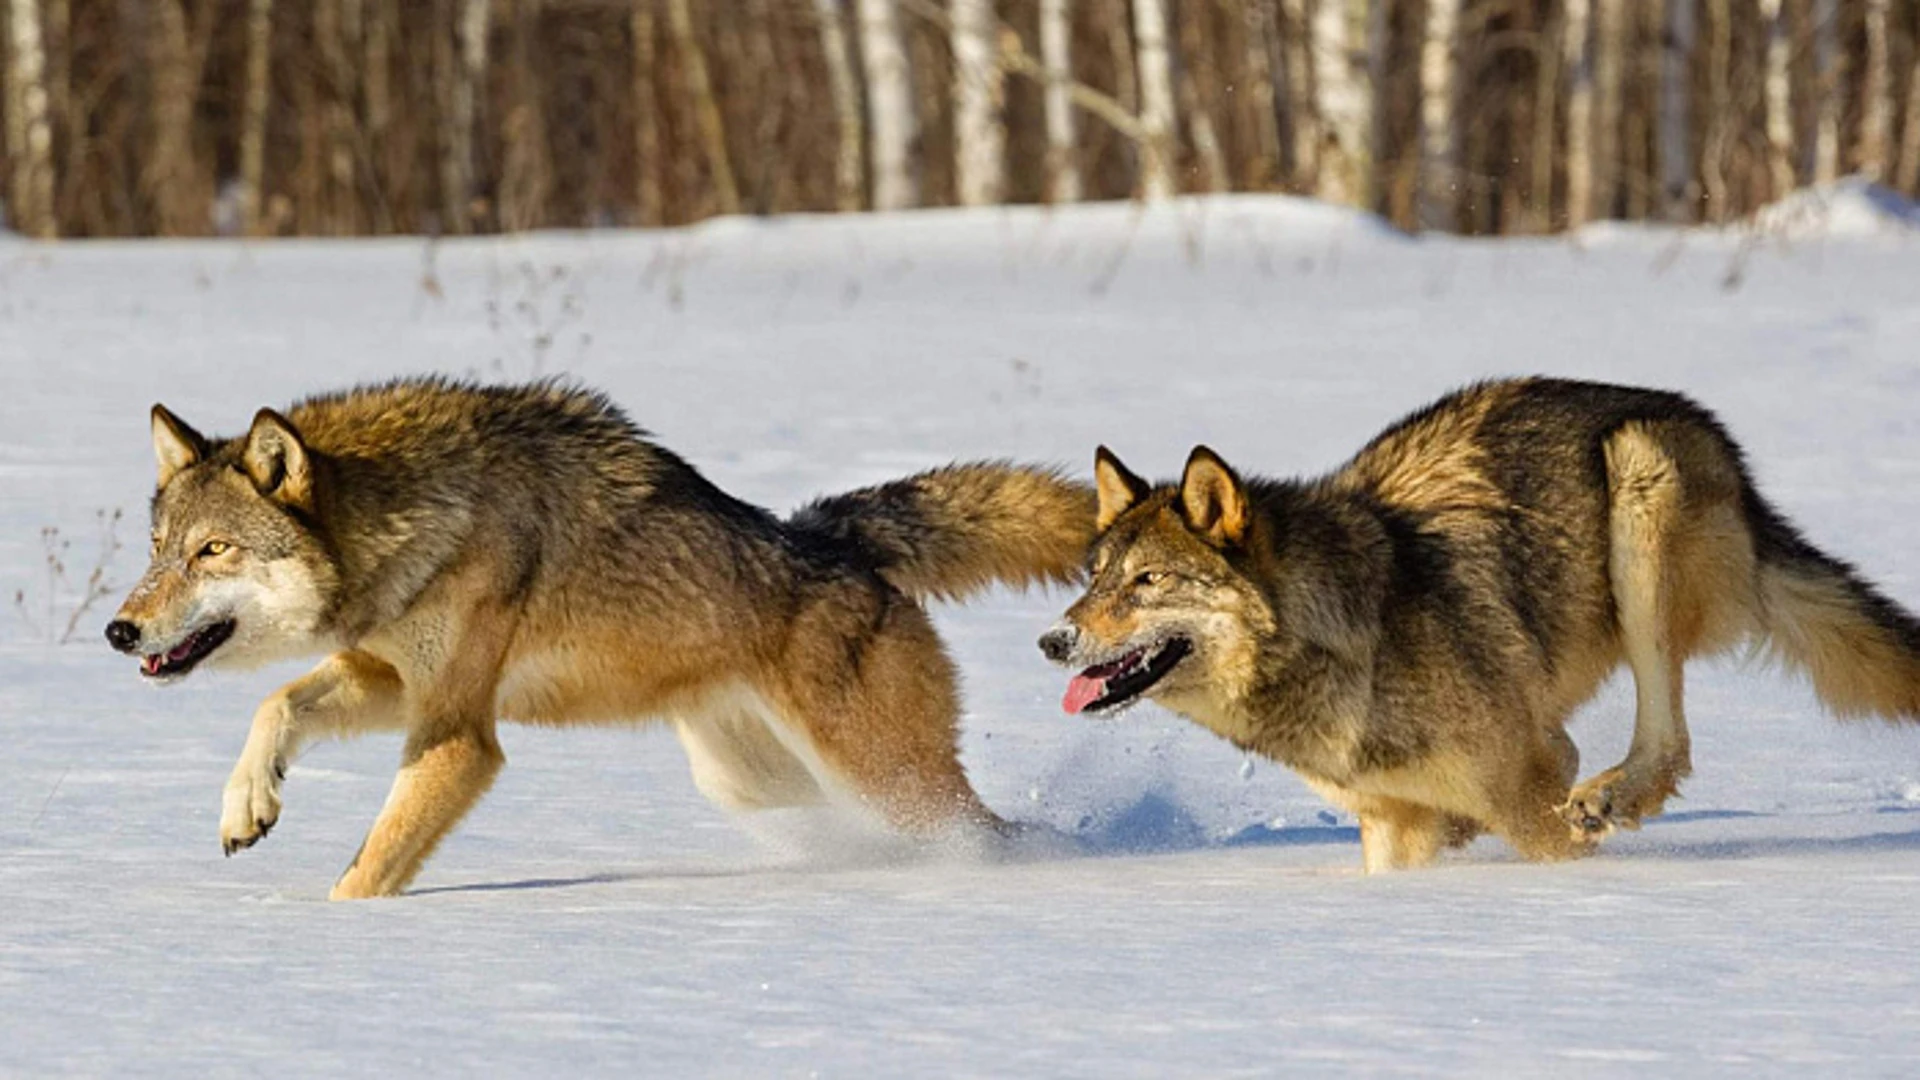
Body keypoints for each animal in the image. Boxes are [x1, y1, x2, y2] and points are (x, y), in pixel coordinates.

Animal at [108, 374, 1098, 895]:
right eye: (156, 550)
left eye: (212, 551)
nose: (120, 630)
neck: (417, 518)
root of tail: (833, 538)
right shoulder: (396, 681)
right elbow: (276, 704)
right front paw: (248, 804)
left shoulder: (459, 736)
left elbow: (369, 866)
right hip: (754, 782)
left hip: (882, 777)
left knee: (985, 830)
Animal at [1044, 376, 1920, 864]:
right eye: (1096, 578)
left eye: (1148, 581)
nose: (1053, 640)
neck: (1344, 644)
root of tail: (1707, 430)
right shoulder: (1392, 828)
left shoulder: (1527, 782)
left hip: (1638, 491)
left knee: (1669, 740)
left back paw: (1612, 798)